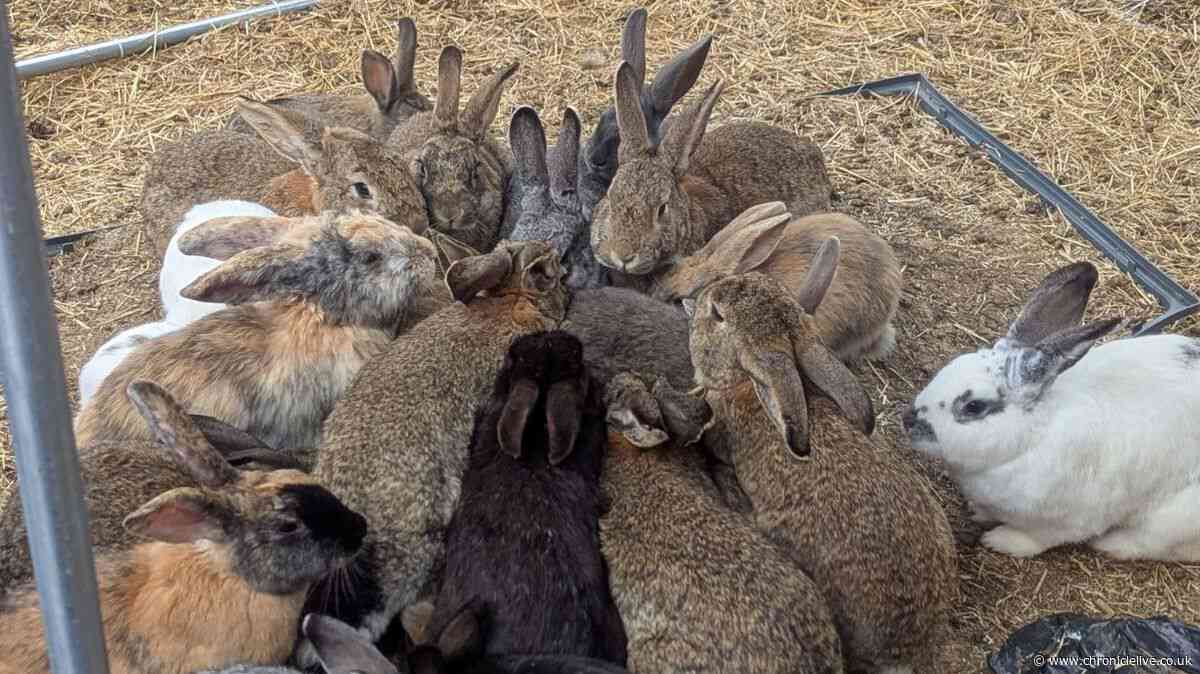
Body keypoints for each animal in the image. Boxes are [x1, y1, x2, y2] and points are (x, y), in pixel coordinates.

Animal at [903, 261, 1200, 562]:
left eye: (974, 406)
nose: (908, 420)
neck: (1030, 438)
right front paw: (979, 513)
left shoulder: (1068, 522)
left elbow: (1037, 539)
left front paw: (999, 540)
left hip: (1172, 519)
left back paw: (1110, 544)